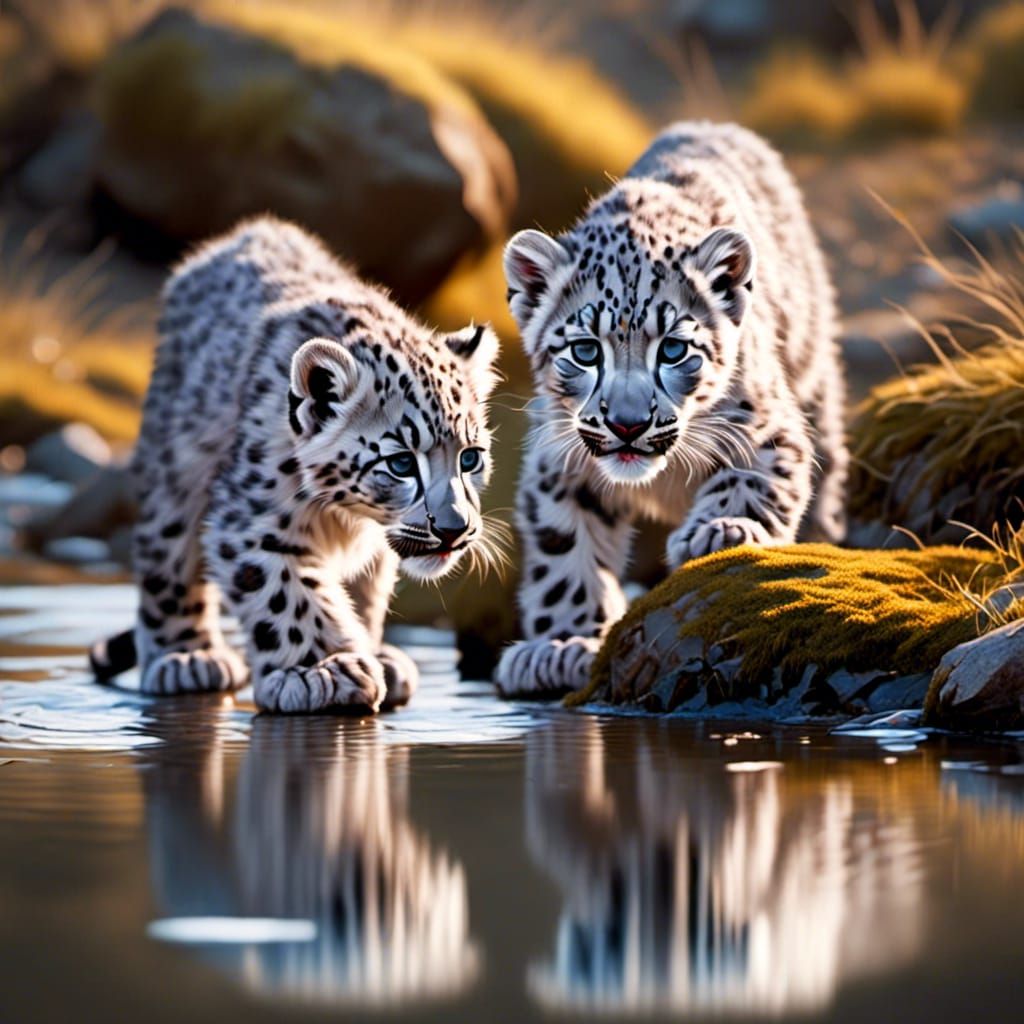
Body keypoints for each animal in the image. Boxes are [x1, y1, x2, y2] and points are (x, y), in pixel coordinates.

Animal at [90, 215, 501, 714]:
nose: (454, 529)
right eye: (402, 462)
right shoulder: (253, 521)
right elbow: (289, 594)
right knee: (166, 555)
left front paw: (362, 657)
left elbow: (360, 591)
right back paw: (186, 657)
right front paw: (323, 670)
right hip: (174, 468)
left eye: (470, 456)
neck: (345, 517)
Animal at [496, 121, 847, 697]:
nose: (627, 424)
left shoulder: (766, 425)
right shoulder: (557, 461)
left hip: (813, 371)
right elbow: (564, 551)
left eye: (674, 349)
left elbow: (753, 479)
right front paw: (563, 645)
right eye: (585, 350)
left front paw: (721, 529)